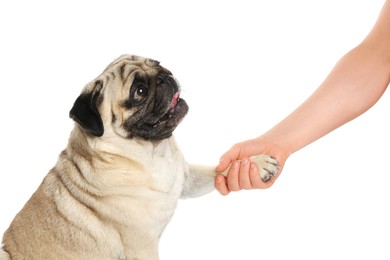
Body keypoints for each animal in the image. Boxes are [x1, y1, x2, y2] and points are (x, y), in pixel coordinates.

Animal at [0, 54, 280, 260]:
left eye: (157, 63)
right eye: (140, 91)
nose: (164, 77)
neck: (151, 153)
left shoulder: (186, 179)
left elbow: (219, 168)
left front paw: (257, 163)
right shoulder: (141, 247)